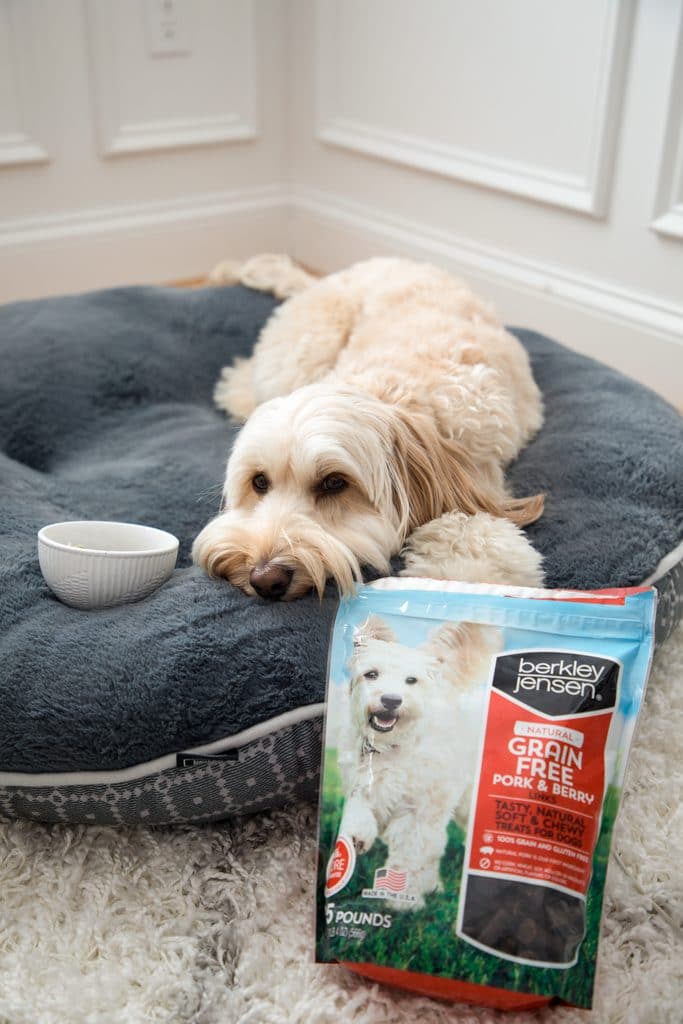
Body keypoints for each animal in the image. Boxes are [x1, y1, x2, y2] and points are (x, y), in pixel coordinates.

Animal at [339, 610, 499, 909]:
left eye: (411, 680)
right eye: (372, 674)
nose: (391, 700)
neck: (393, 747)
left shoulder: (419, 814)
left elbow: (411, 855)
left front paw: (401, 901)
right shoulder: (363, 780)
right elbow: (358, 808)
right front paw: (356, 836)